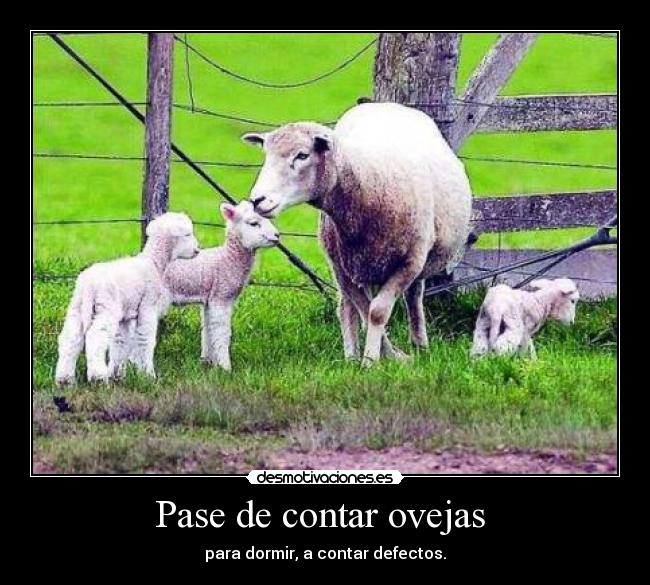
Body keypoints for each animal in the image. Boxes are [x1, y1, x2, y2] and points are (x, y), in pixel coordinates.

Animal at [54, 212, 200, 385]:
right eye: (187, 234)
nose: (197, 250)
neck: (154, 263)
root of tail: (89, 285)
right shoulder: (148, 307)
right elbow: (145, 340)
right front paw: (148, 376)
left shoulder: (125, 317)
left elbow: (121, 343)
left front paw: (117, 375)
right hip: (106, 307)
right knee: (95, 337)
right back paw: (98, 377)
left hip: (77, 307)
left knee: (70, 339)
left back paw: (64, 380)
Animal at [163, 201, 280, 371]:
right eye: (253, 223)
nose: (277, 236)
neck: (227, 259)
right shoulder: (221, 295)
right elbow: (222, 332)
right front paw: (226, 367)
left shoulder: (208, 300)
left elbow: (208, 330)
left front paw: (208, 361)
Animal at [242, 101, 472, 365]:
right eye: (266, 155)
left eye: (302, 155)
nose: (257, 200)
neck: (368, 183)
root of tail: (384, 104)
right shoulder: (340, 266)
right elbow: (364, 309)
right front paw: (383, 357)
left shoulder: (409, 262)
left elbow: (377, 311)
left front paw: (373, 360)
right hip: (355, 263)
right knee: (346, 307)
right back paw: (351, 355)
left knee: (414, 296)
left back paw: (419, 344)